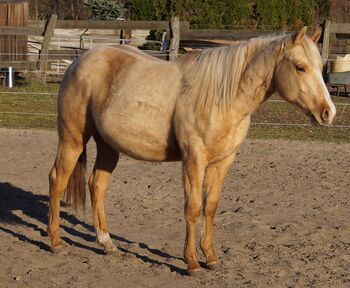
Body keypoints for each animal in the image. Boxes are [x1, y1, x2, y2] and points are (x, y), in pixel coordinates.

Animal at [47, 28, 336, 276]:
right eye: (300, 67)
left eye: (320, 67)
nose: (328, 112)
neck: (222, 97)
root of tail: (78, 62)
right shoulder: (194, 160)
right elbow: (193, 207)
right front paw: (192, 262)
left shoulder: (222, 162)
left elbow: (210, 207)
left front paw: (212, 258)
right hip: (72, 139)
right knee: (57, 181)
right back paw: (55, 242)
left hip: (108, 146)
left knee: (97, 185)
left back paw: (106, 243)